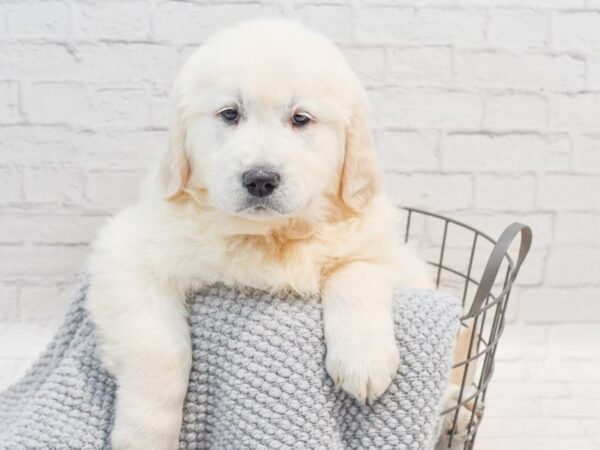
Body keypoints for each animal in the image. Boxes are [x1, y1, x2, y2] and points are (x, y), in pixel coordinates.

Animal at [85, 19, 432, 448]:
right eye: (229, 114)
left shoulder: (390, 250)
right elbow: (161, 350)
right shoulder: (127, 252)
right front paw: (145, 436)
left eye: (301, 119)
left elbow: (358, 267)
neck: (268, 237)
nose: (261, 179)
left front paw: (364, 359)